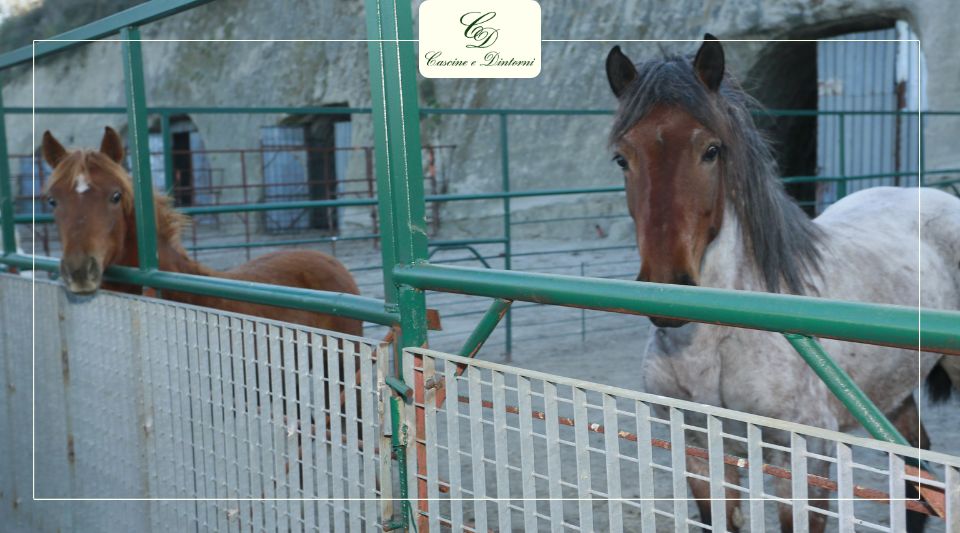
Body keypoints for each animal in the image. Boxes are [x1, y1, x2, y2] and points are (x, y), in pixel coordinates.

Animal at [608, 35, 960, 528]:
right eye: (623, 157)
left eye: (711, 150)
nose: (667, 285)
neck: (719, 340)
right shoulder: (699, 452)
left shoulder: (804, 459)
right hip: (889, 395)